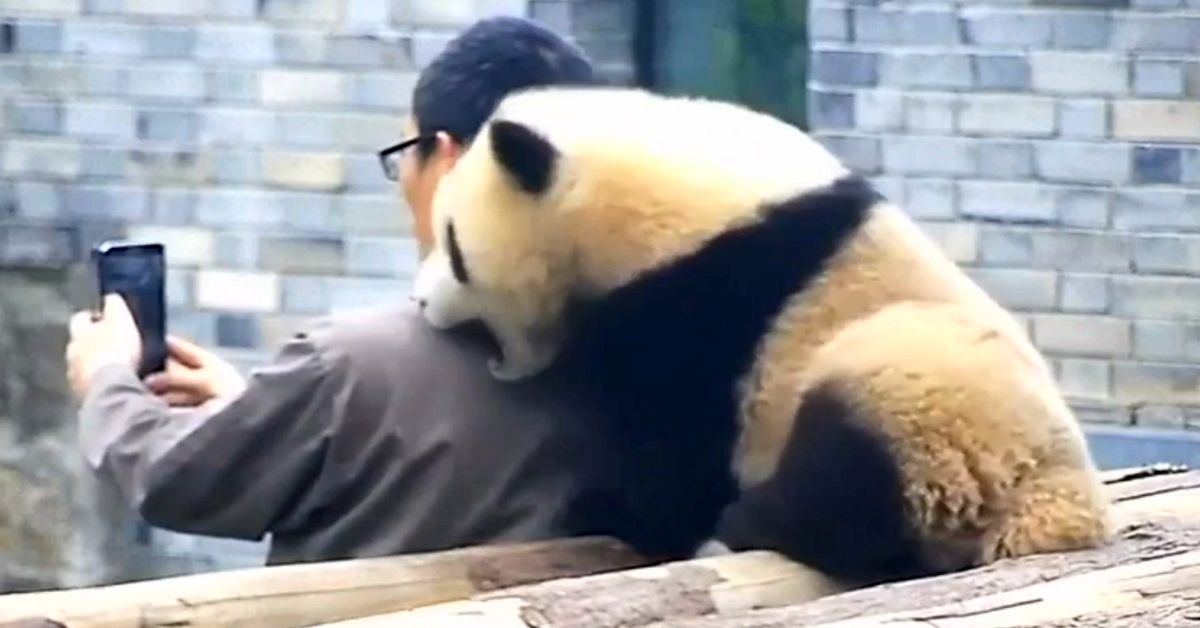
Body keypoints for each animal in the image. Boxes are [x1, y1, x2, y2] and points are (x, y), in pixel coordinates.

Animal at [412, 85, 1113, 597]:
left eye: (455, 247)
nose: (420, 301)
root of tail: (1065, 510)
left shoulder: (708, 293)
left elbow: (676, 439)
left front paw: (616, 512)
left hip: (935, 395)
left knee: (855, 467)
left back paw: (756, 519)